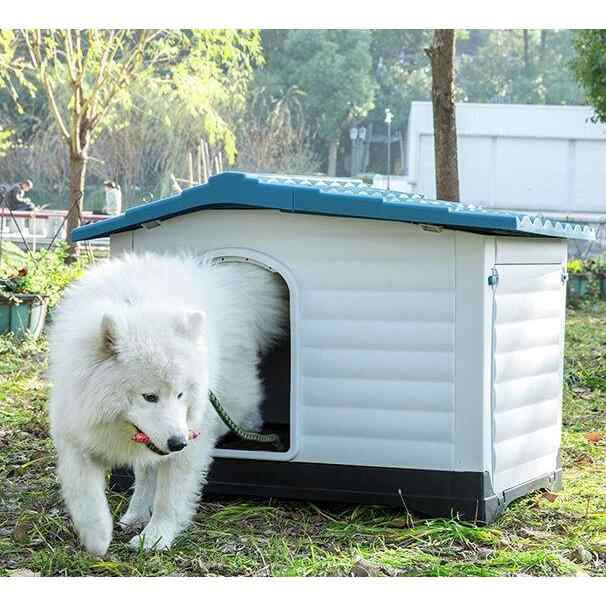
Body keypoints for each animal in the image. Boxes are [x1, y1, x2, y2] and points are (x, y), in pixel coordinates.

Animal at [47, 254, 288, 560]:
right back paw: (135, 514)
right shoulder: (76, 436)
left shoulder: (190, 443)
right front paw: (98, 538)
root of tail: (228, 282)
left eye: (181, 394)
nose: (178, 442)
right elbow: (86, 495)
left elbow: (169, 499)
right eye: (149, 397)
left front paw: (156, 537)